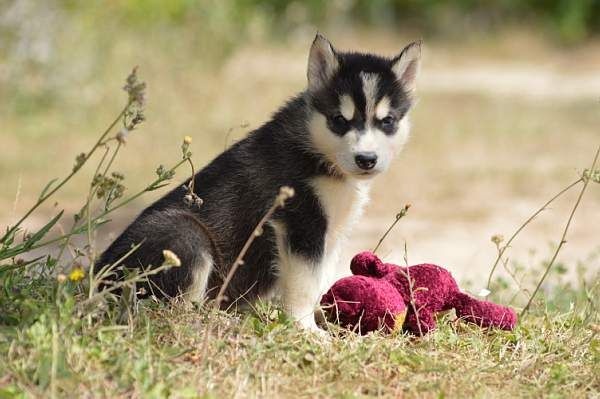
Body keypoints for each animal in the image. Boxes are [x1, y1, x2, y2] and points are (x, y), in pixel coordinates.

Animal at [96, 34, 420, 332]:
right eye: (339, 120)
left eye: (388, 121)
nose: (366, 159)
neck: (319, 154)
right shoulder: (300, 223)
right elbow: (304, 283)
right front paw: (306, 328)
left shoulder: (332, 232)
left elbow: (321, 277)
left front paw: (326, 318)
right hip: (186, 236)